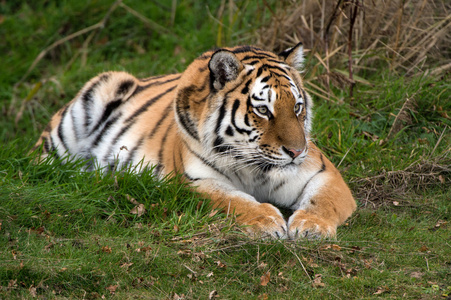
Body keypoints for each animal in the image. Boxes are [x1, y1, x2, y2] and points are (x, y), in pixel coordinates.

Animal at [31, 42, 356, 239]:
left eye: (297, 107)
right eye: (263, 110)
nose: (296, 151)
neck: (254, 167)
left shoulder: (323, 172)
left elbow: (323, 201)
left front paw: (311, 226)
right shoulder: (193, 181)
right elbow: (233, 200)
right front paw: (266, 221)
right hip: (90, 102)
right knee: (40, 168)